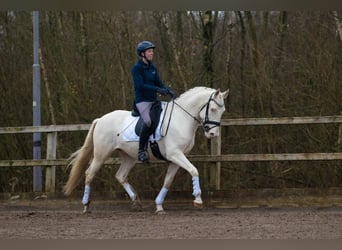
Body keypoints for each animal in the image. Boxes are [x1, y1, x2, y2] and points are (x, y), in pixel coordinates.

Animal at [64, 86, 230, 213]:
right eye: (213, 109)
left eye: (222, 111)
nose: (213, 134)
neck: (181, 119)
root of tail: (100, 119)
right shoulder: (175, 154)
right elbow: (194, 170)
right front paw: (198, 199)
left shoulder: (176, 158)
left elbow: (168, 181)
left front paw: (159, 206)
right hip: (101, 155)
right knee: (89, 174)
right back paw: (86, 205)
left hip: (129, 157)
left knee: (120, 176)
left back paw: (136, 202)